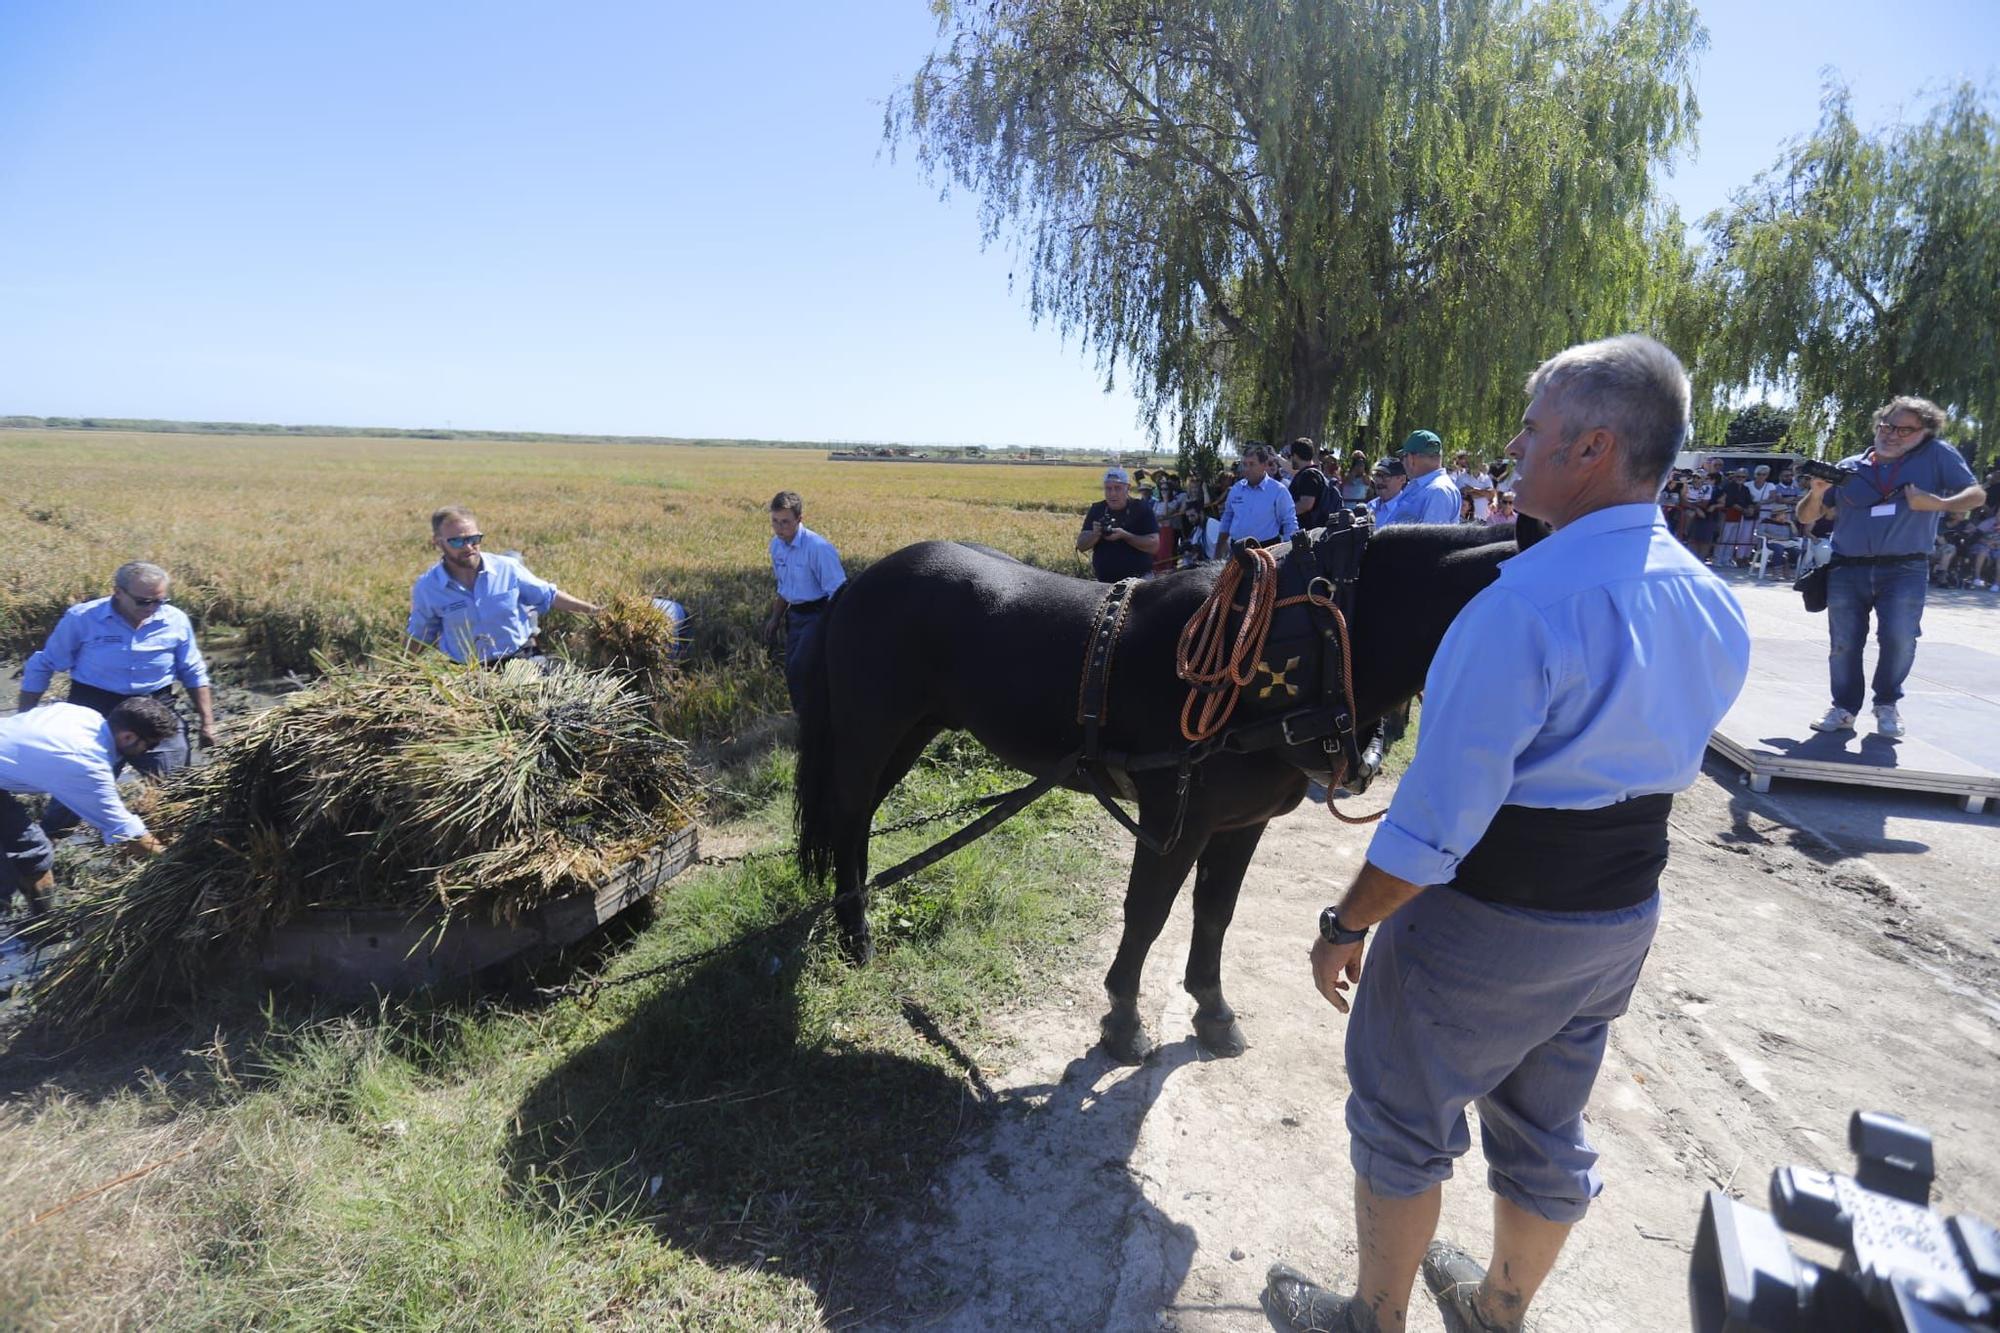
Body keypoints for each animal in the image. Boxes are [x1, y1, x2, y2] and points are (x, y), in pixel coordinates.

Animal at [788, 516, 1536, 1056]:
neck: (1317, 626)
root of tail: (859, 582)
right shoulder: (1177, 815)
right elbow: (1148, 913)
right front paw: (1123, 1019)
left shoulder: (1241, 822)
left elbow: (1214, 913)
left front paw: (1212, 1008)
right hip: (871, 729)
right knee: (850, 815)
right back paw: (856, 932)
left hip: (911, 731)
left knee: (857, 818)